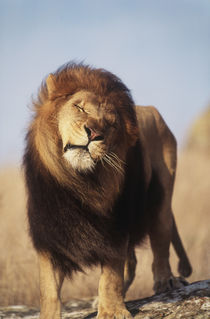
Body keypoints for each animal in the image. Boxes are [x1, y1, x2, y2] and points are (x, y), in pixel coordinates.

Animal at [23, 63, 192, 319]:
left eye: (111, 124)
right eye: (80, 107)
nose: (93, 134)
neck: (81, 182)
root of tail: (148, 109)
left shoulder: (116, 227)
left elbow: (111, 275)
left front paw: (112, 311)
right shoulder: (50, 234)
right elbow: (48, 290)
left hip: (162, 197)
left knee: (160, 243)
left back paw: (166, 281)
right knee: (132, 263)